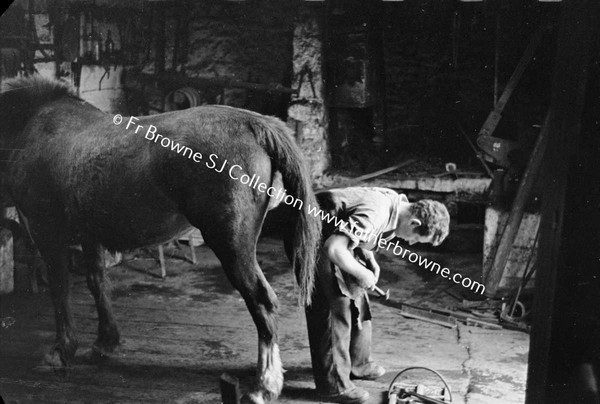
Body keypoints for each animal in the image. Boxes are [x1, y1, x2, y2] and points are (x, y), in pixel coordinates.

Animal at [0, 75, 322, 400]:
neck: (33, 123)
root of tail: (254, 123)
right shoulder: (89, 235)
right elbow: (97, 283)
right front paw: (105, 342)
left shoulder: (48, 232)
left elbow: (60, 291)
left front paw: (60, 352)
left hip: (232, 246)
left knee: (263, 302)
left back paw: (264, 385)